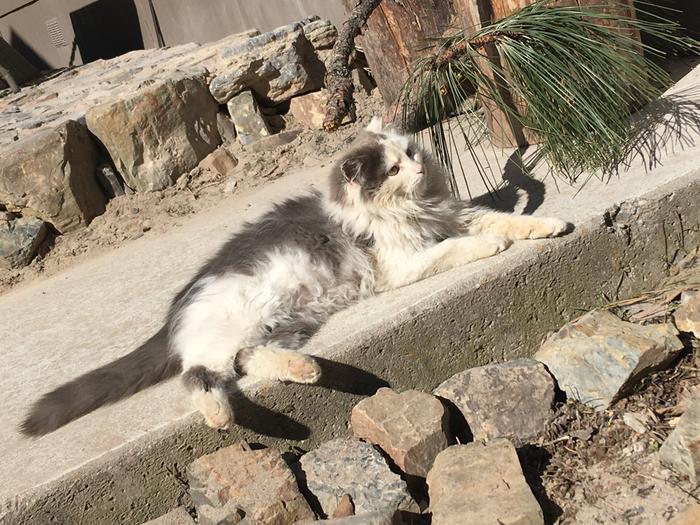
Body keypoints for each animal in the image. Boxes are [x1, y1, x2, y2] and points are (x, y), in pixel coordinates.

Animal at [20, 117, 568, 434]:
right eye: (391, 172)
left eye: (411, 155)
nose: (416, 169)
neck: (415, 208)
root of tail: (178, 307)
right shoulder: (405, 261)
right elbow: (461, 247)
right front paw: (493, 246)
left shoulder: (457, 216)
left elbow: (506, 219)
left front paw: (550, 225)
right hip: (238, 322)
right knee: (198, 374)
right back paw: (223, 415)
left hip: (284, 324)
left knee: (244, 362)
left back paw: (306, 370)